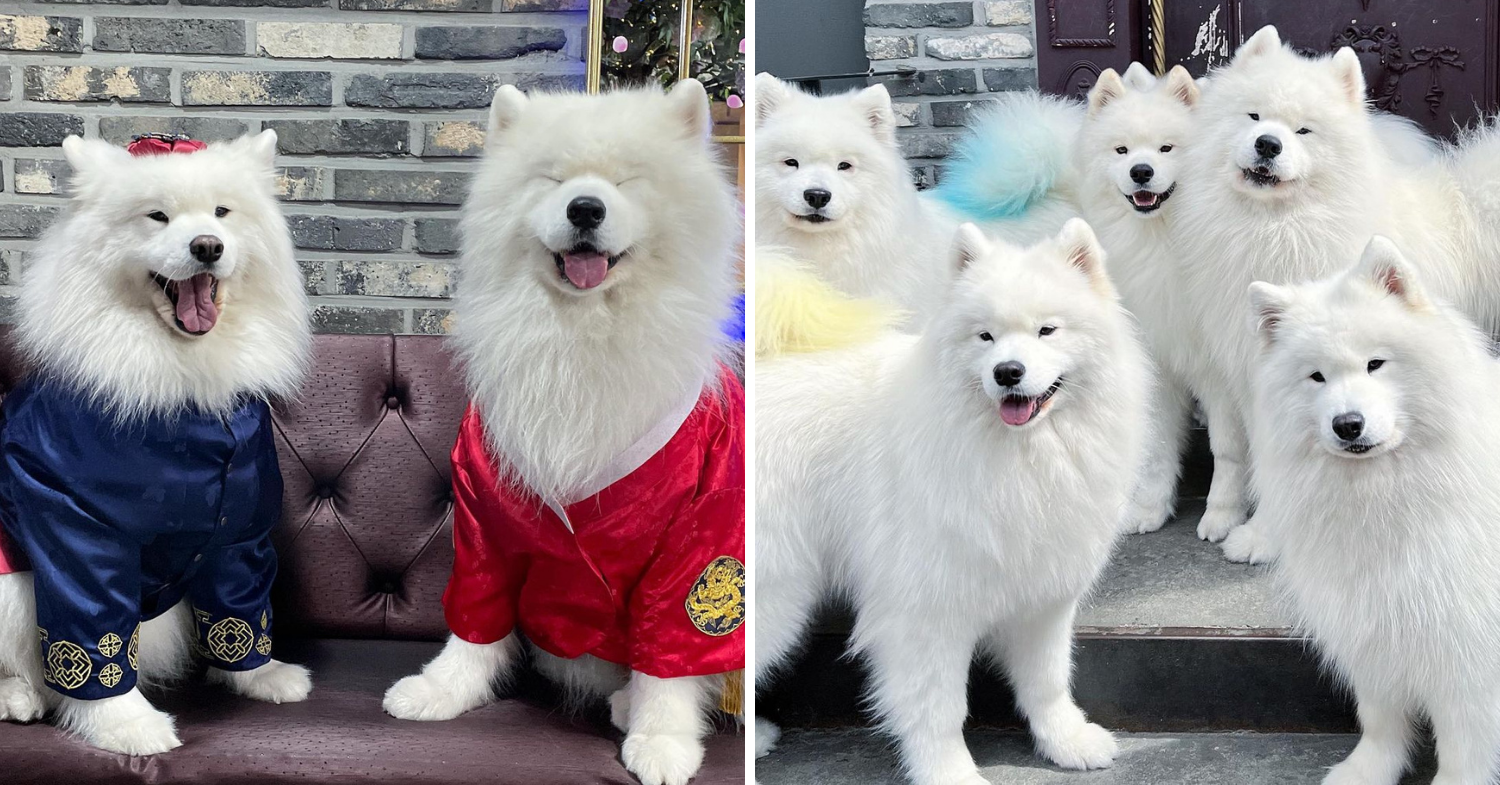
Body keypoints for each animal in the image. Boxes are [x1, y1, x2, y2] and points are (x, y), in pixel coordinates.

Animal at [0, 130, 312, 756]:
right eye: (157, 217)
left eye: (222, 212)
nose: (208, 246)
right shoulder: (76, 529)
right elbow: (94, 640)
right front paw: (127, 725)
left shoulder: (239, 526)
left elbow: (240, 609)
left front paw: (263, 676)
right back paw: (17, 698)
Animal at [762, 217, 1146, 780]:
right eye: (985, 336)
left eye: (1047, 331)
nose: (1007, 371)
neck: (1018, 458)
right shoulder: (926, 608)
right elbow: (937, 708)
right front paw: (949, 772)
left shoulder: (1043, 596)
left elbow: (1048, 681)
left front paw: (1067, 742)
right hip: (777, 595)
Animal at [1170, 26, 1500, 564]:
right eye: (1254, 116)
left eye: (1303, 131)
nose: (1267, 144)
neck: (1275, 231)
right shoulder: (1244, 372)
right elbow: (1237, 451)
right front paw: (1229, 517)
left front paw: (1264, 536)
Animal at [1248, 238, 1500, 785]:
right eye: (1316, 377)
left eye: (1375, 364)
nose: (1348, 424)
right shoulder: (1371, 619)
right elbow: (1381, 716)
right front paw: (1366, 770)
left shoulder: (1466, 640)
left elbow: (1464, 735)